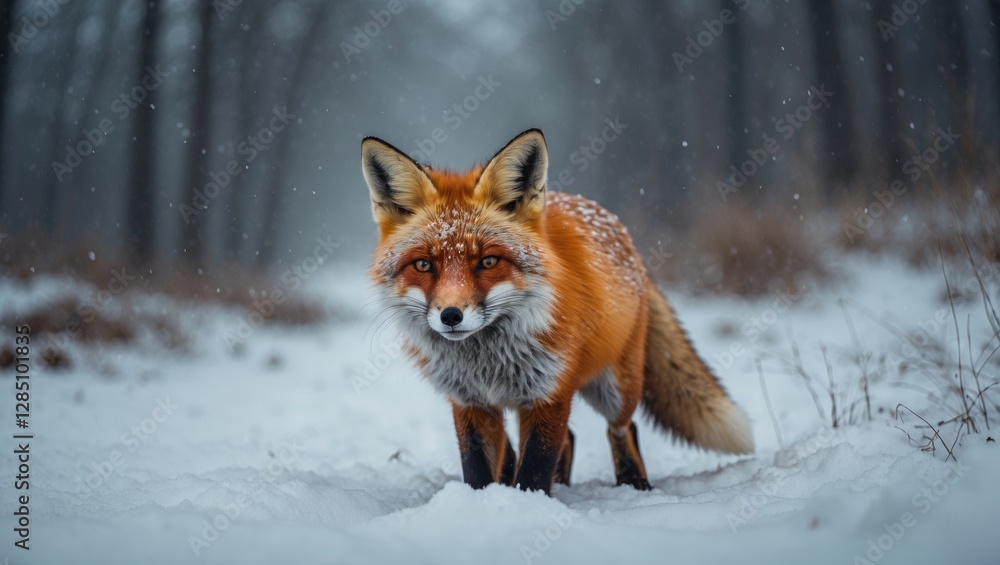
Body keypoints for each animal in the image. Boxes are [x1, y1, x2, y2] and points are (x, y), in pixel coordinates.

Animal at [361, 129, 753, 494]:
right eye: (424, 265)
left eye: (488, 261)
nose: (451, 316)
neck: (488, 361)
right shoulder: (470, 401)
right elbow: (478, 469)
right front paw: (485, 503)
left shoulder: (549, 393)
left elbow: (535, 467)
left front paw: (527, 505)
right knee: (567, 441)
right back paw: (562, 485)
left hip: (615, 386)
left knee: (622, 427)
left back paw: (634, 484)